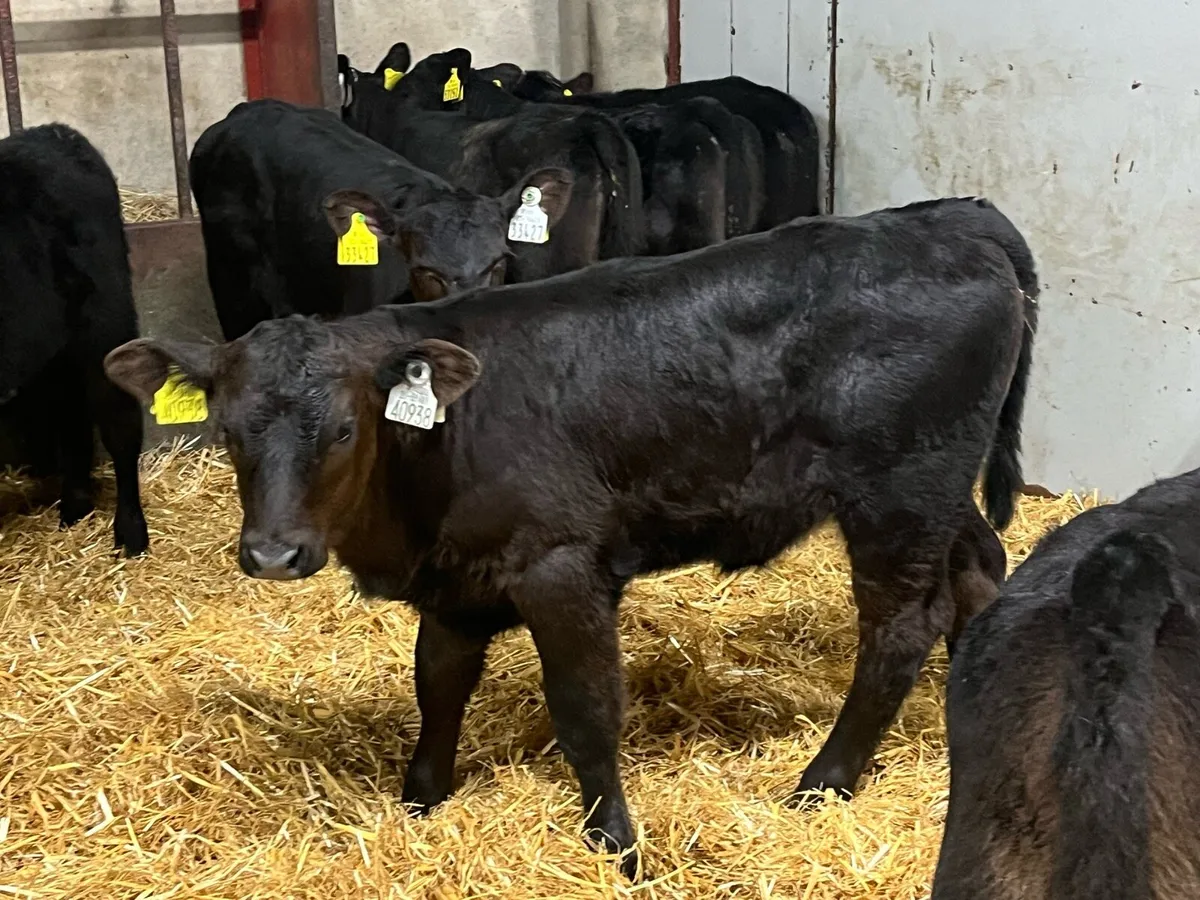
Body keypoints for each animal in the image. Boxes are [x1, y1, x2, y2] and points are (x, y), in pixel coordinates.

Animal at [0, 123, 148, 556]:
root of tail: (54, 133)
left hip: (104, 320)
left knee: (119, 423)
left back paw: (130, 534)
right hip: (52, 349)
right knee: (69, 413)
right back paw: (75, 505)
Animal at [104, 196, 1038, 878]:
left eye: (341, 429)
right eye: (228, 430)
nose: (272, 554)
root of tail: (947, 218)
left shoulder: (563, 568)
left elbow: (586, 708)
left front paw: (616, 845)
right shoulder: (455, 582)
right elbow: (438, 686)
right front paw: (422, 799)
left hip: (899, 490)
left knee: (902, 625)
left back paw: (822, 782)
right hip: (940, 491)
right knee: (981, 572)